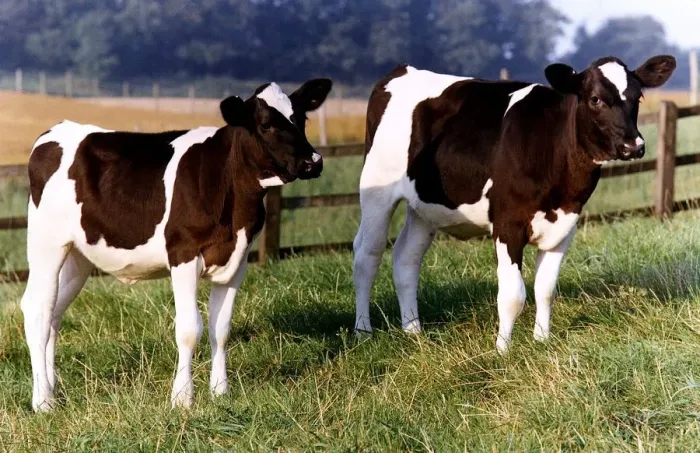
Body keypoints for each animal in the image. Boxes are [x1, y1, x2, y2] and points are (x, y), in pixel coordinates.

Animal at [21, 79, 332, 412]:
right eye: (265, 125)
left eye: (302, 118)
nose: (313, 162)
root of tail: (55, 131)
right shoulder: (183, 254)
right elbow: (189, 329)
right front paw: (182, 397)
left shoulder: (238, 260)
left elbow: (221, 329)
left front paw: (220, 392)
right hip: (46, 243)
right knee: (37, 309)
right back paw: (43, 401)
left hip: (78, 255)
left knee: (54, 313)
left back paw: (52, 389)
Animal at [352, 55, 676, 354]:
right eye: (595, 98)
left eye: (638, 96)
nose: (633, 146)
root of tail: (401, 70)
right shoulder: (508, 224)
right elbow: (512, 295)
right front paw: (502, 350)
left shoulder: (565, 226)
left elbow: (545, 289)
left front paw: (542, 340)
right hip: (376, 190)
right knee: (367, 255)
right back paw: (363, 332)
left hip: (425, 206)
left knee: (406, 258)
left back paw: (413, 331)